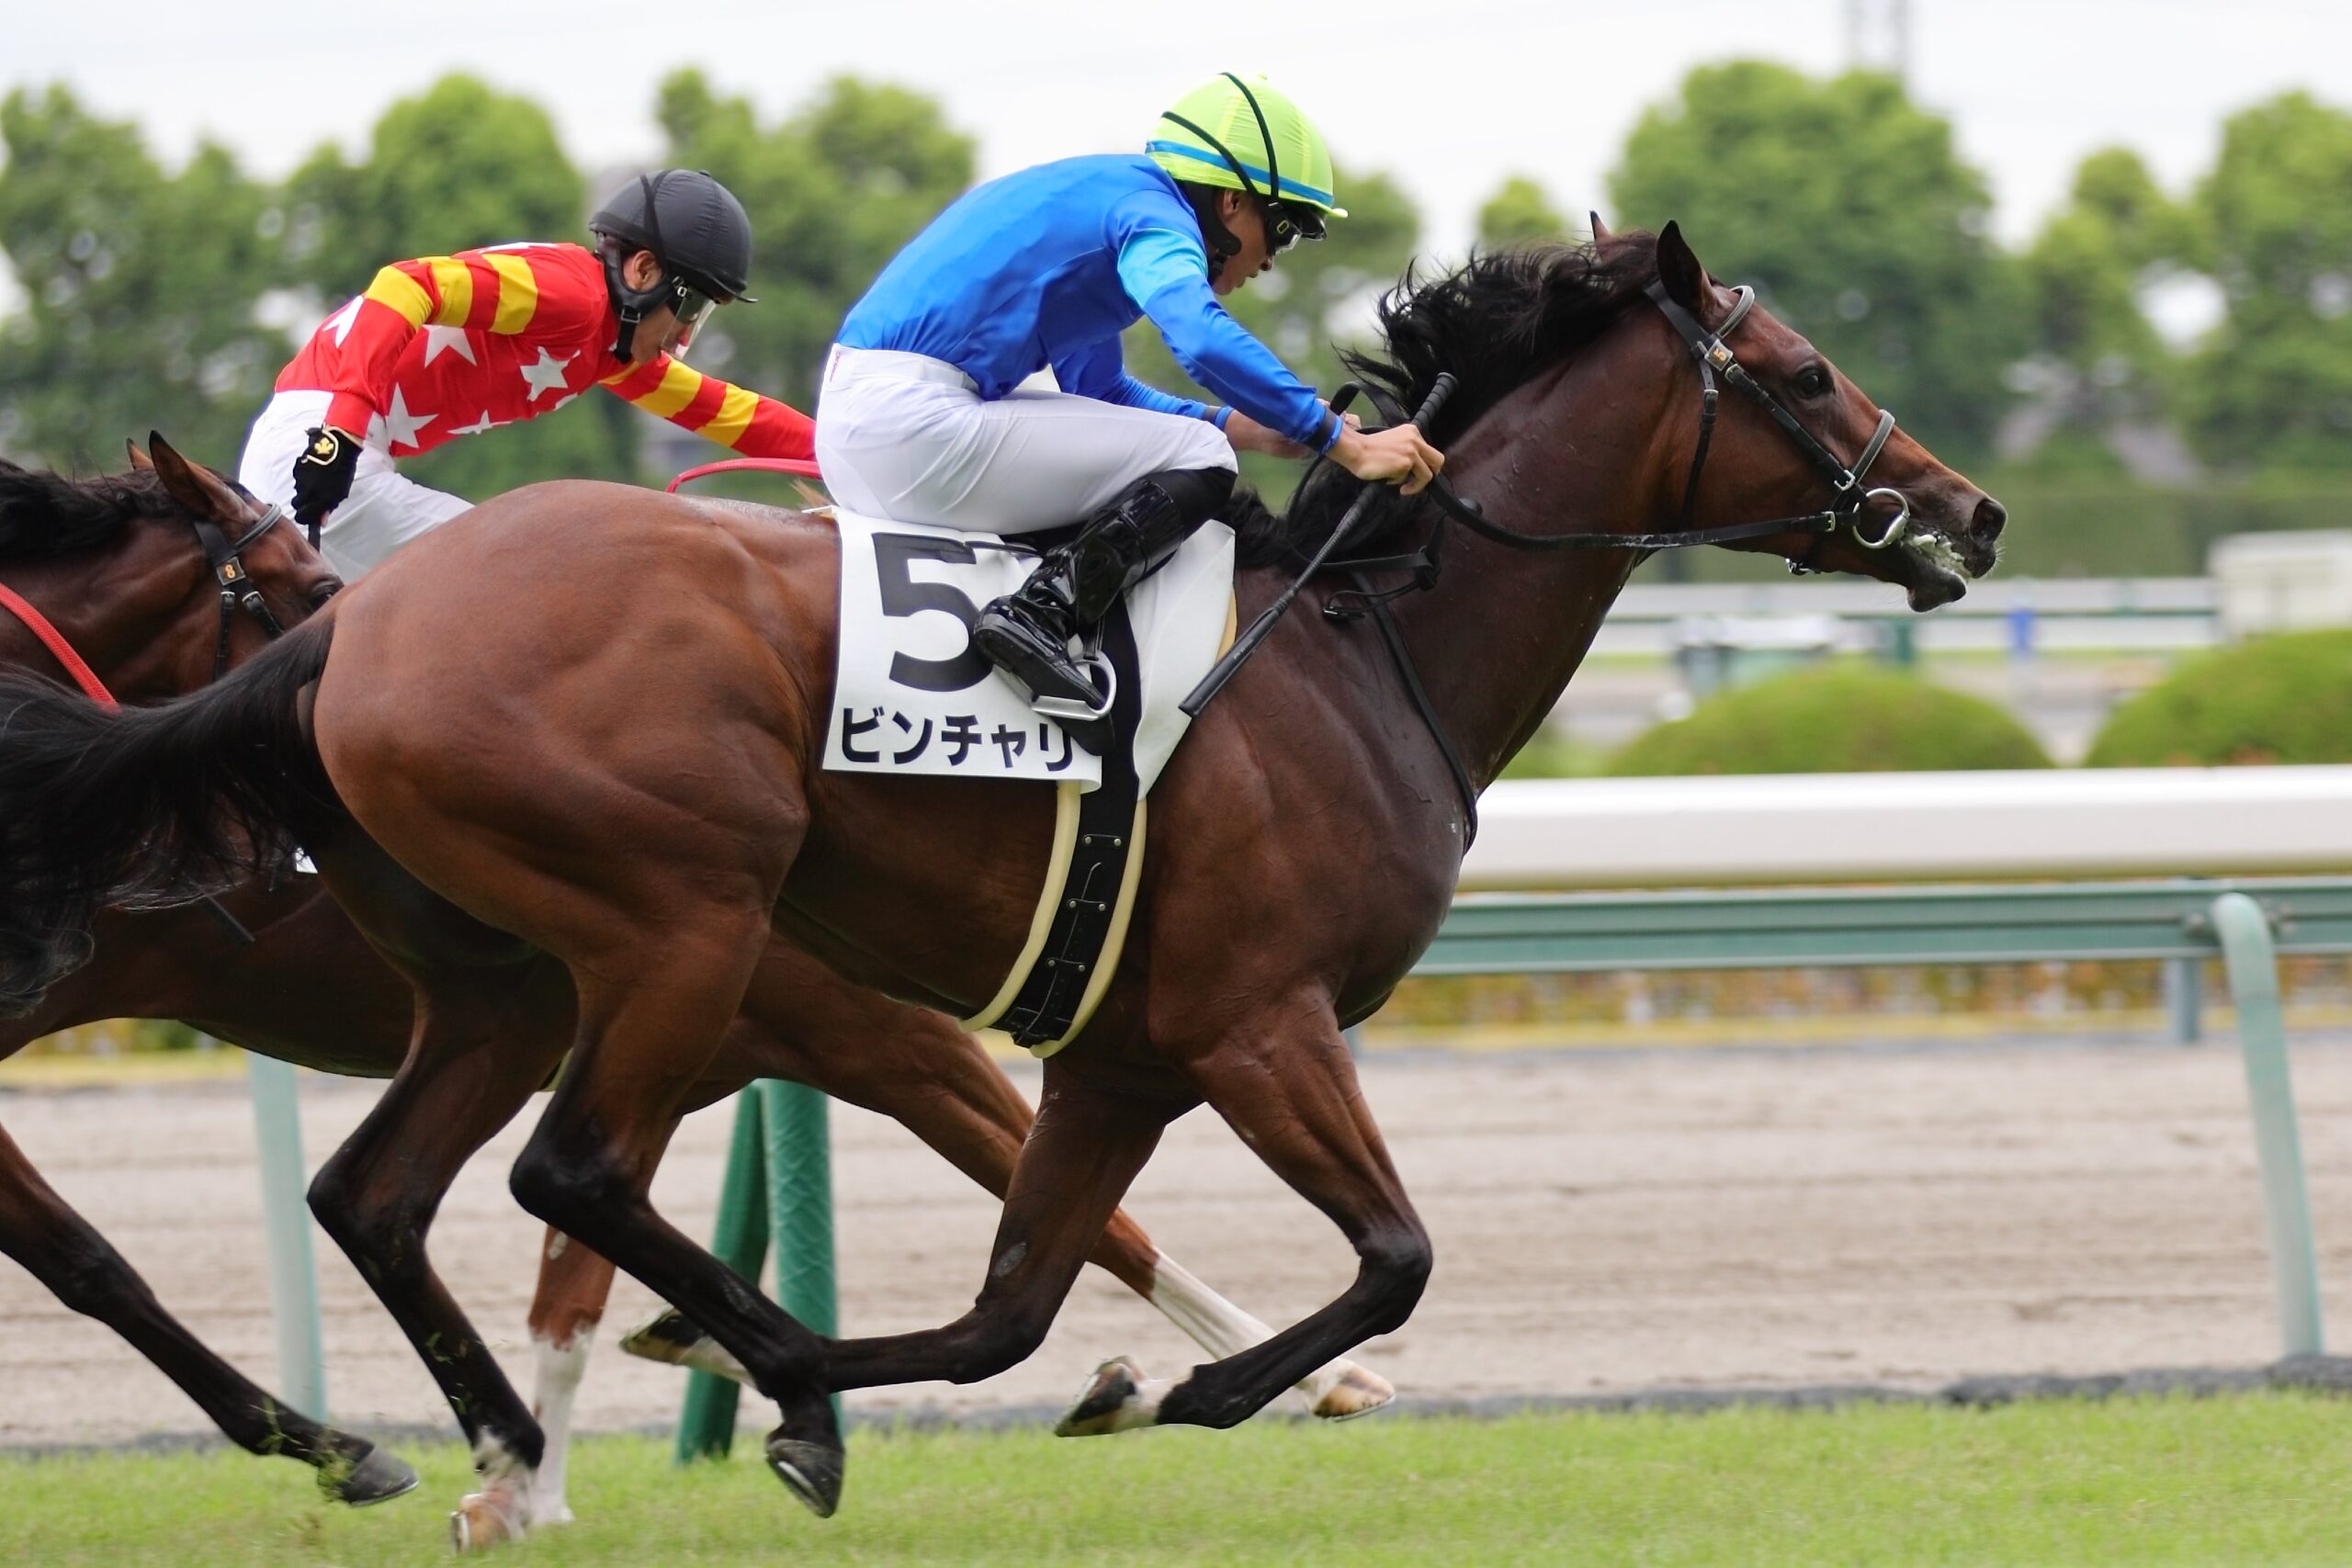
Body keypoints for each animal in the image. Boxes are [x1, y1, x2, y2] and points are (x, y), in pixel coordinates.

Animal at [0, 448, 1385, 1541]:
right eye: (303, 583)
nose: (333, 624)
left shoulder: (703, 1028)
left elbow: (575, 1277)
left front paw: (534, 1476)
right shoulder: (861, 1031)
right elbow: (1082, 1210)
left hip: (510, 1005)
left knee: (271, 1216)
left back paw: (361, 1440)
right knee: (104, 1245)